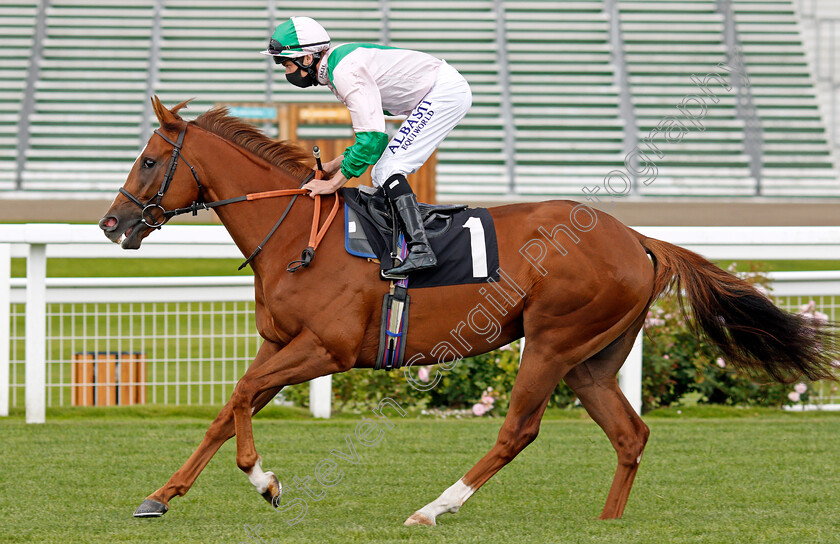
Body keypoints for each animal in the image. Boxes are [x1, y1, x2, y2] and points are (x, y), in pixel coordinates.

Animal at [100, 96, 840, 524]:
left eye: (149, 161)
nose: (111, 225)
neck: (296, 236)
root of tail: (639, 239)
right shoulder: (280, 342)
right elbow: (230, 407)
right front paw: (162, 495)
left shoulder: (327, 349)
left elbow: (243, 397)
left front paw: (265, 481)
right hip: (592, 360)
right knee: (629, 434)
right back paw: (606, 523)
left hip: (551, 341)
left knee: (518, 430)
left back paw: (434, 508)